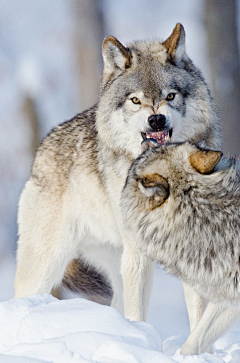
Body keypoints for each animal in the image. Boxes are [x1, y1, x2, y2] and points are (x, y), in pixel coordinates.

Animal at [14, 23, 221, 324]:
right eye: (135, 100)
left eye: (170, 96)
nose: (156, 120)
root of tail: (41, 150)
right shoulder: (137, 254)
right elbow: (138, 315)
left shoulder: (190, 252)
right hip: (46, 266)